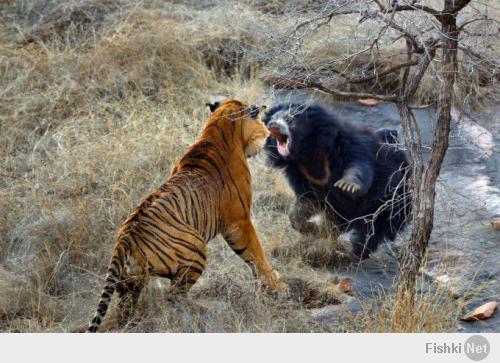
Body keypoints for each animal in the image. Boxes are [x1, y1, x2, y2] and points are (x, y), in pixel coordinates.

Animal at [88, 99, 286, 332]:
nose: (268, 131)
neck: (217, 129)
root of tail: (124, 239)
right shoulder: (239, 222)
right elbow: (256, 254)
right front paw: (276, 286)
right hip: (195, 249)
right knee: (174, 295)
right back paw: (204, 308)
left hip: (130, 282)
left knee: (127, 309)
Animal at [264, 104, 412, 260]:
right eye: (273, 118)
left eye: (289, 118)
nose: (272, 124)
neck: (307, 152)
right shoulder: (299, 173)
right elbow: (305, 201)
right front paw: (313, 228)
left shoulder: (346, 144)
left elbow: (358, 165)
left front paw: (347, 185)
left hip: (392, 201)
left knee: (372, 231)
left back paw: (350, 254)